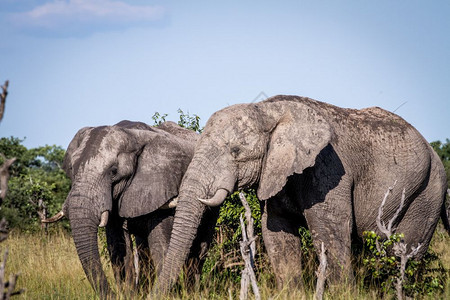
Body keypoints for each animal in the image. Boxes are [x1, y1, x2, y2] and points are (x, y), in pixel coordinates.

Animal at [44, 120, 218, 298]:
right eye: (72, 169)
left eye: (114, 171)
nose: (113, 295)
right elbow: (117, 247)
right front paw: (128, 295)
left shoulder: (161, 186)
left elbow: (160, 244)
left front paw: (169, 296)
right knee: (143, 251)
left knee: (199, 249)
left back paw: (193, 293)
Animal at [156, 95, 448, 292]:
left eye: (236, 152)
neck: (269, 111)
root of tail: (435, 154)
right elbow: (276, 232)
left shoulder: (327, 169)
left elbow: (330, 233)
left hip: (426, 194)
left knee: (405, 252)